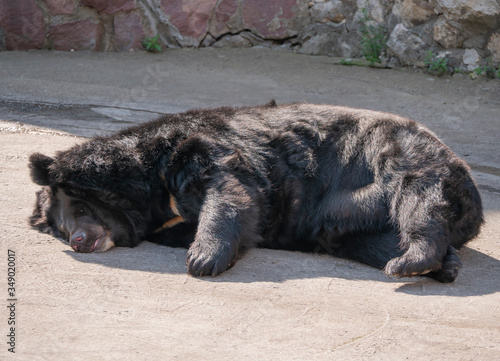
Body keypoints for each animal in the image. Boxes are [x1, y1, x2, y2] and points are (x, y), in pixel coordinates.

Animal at [28, 101, 484, 282]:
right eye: (61, 228)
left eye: (80, 206)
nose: (80, 240)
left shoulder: (202, 148)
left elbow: (231, 190)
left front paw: (203, 258)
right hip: (340, 216)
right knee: (363, 236)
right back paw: (439, 263)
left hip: (399, 154)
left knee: (420, 198)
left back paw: (413, 260)